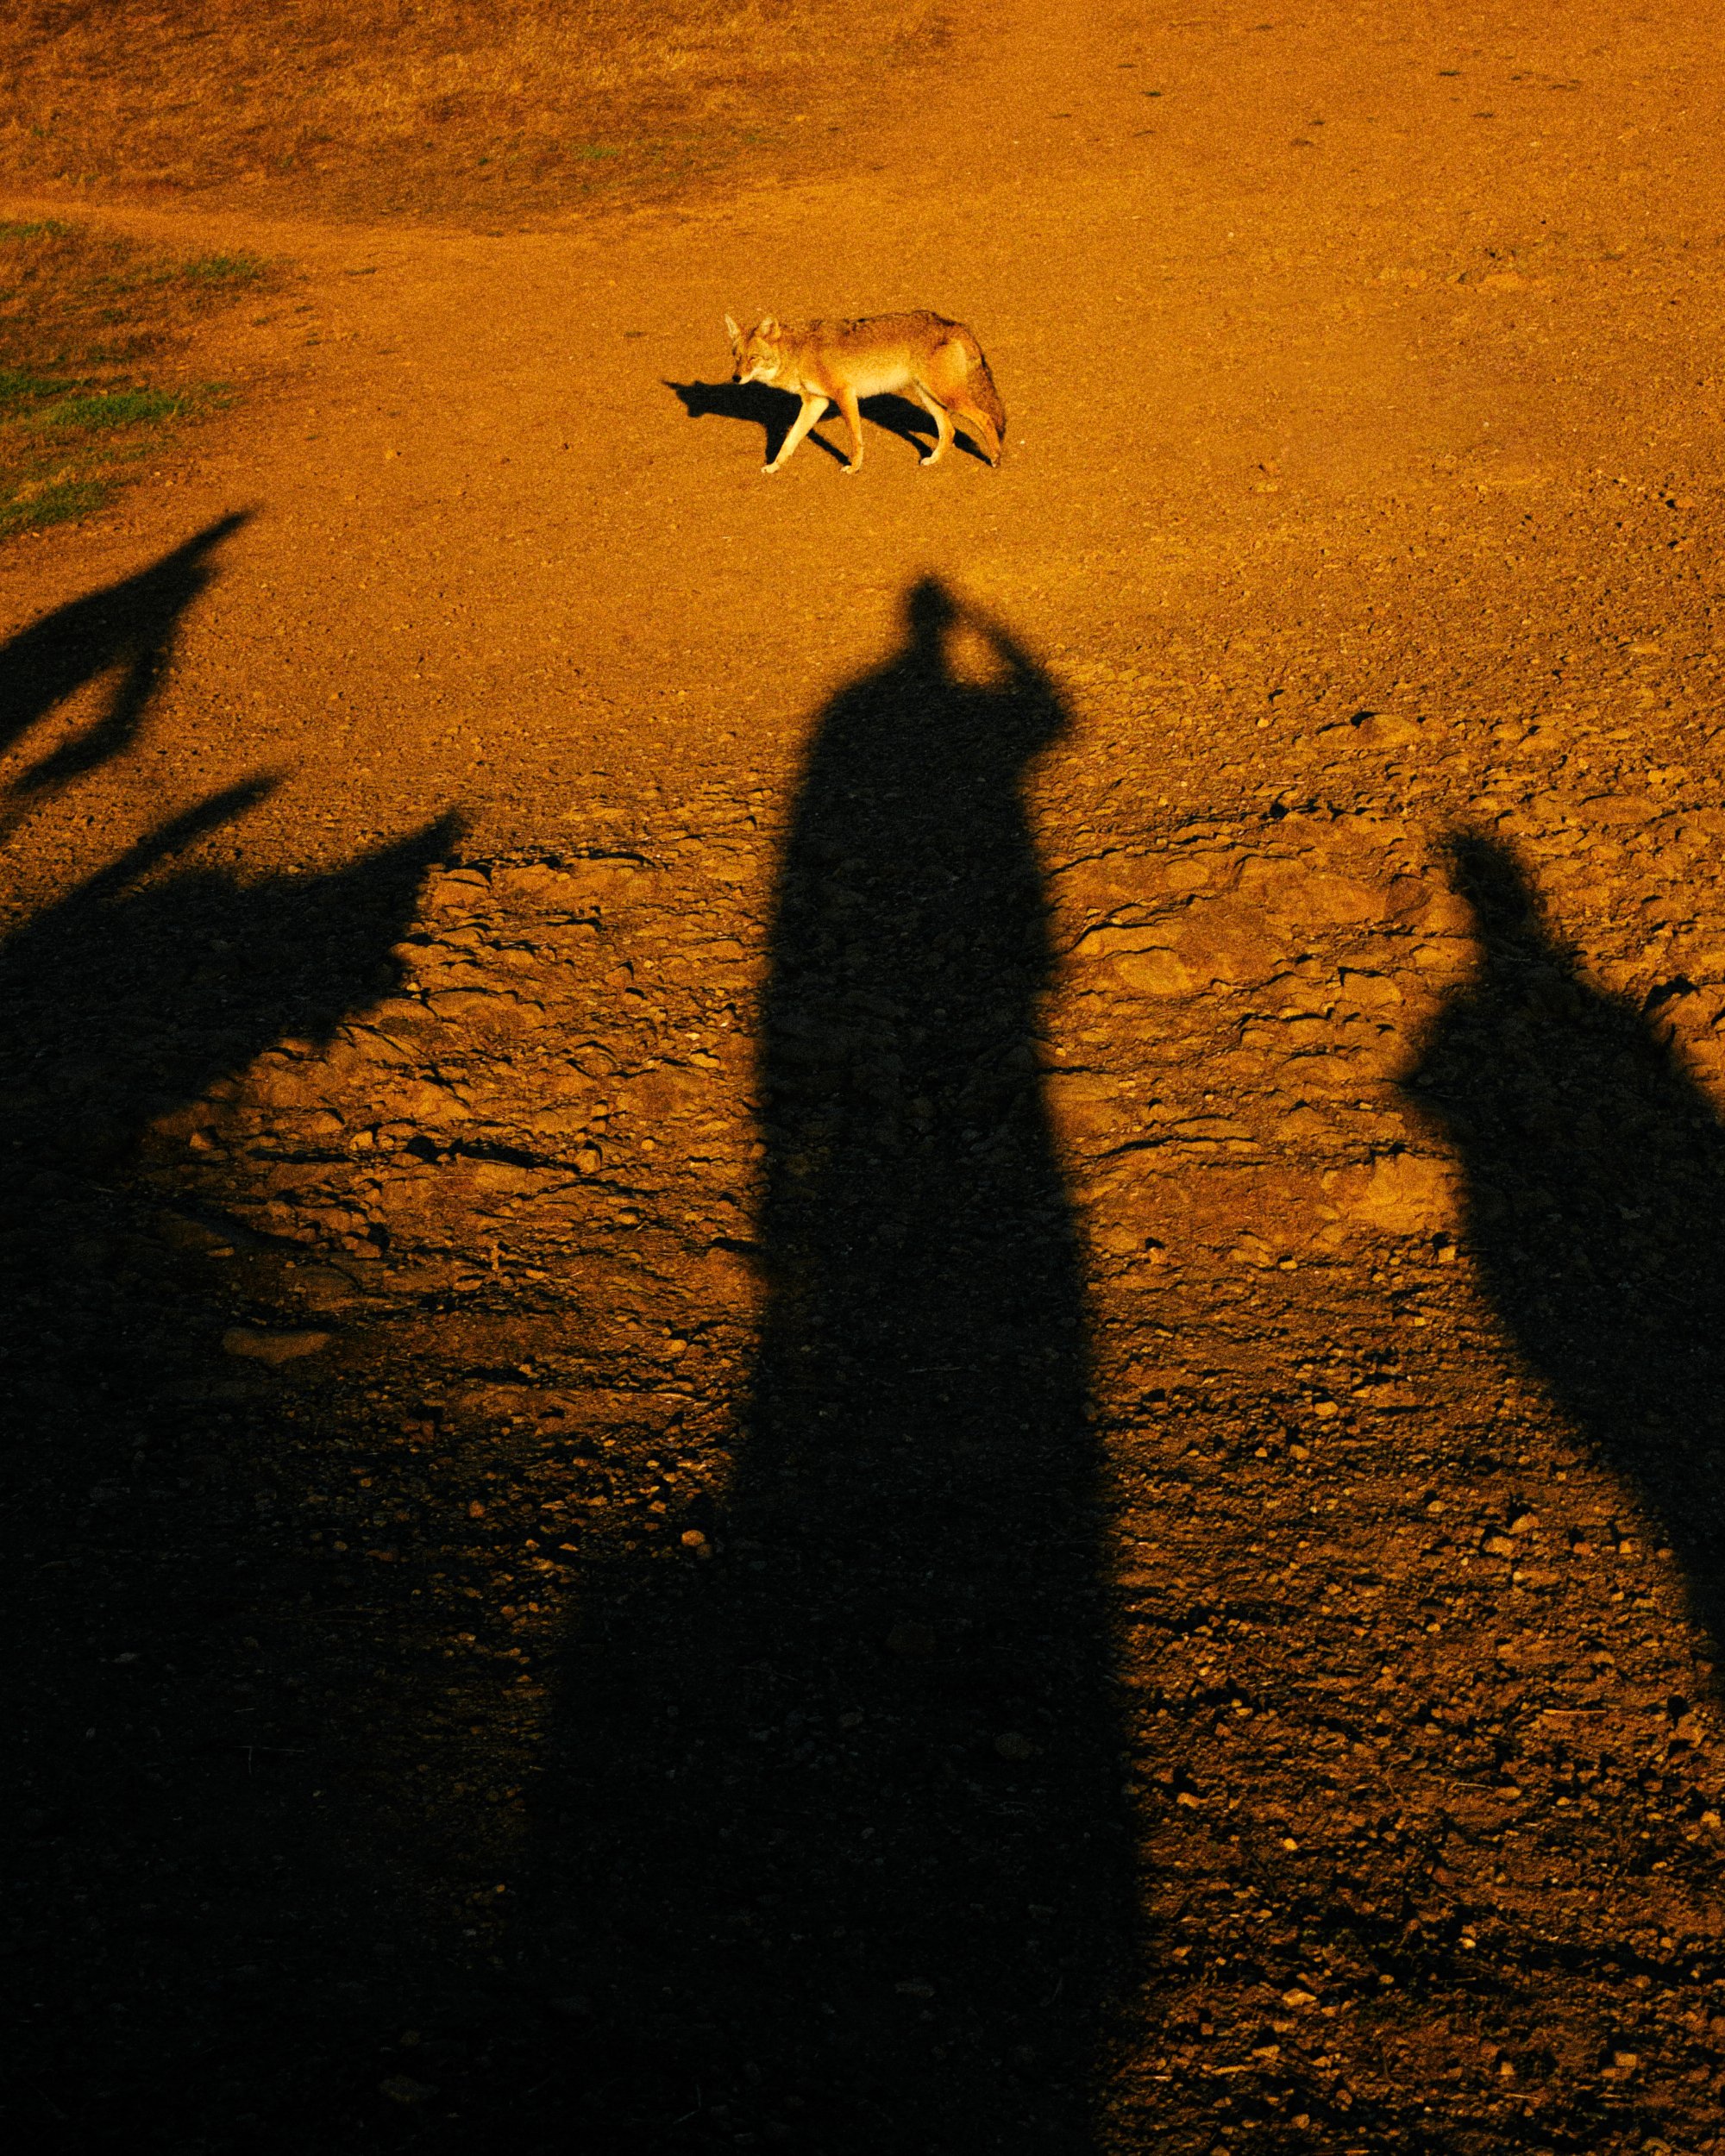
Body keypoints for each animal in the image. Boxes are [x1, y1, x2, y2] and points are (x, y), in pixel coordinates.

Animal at [723, 311, 1006, 475]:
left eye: (753, 358)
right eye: (737, 357)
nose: (736, 378)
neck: (798, 352)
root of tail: (952, 323)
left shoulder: (844, 394)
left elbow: (855, 438)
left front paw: (854, 467)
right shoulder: (815, 403)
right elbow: (789, 441)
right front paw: (774, 466)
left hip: (946, 397)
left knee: (985, 419)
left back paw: (995, 458)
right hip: (929, 397)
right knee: (949, 431)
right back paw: (933, 460)